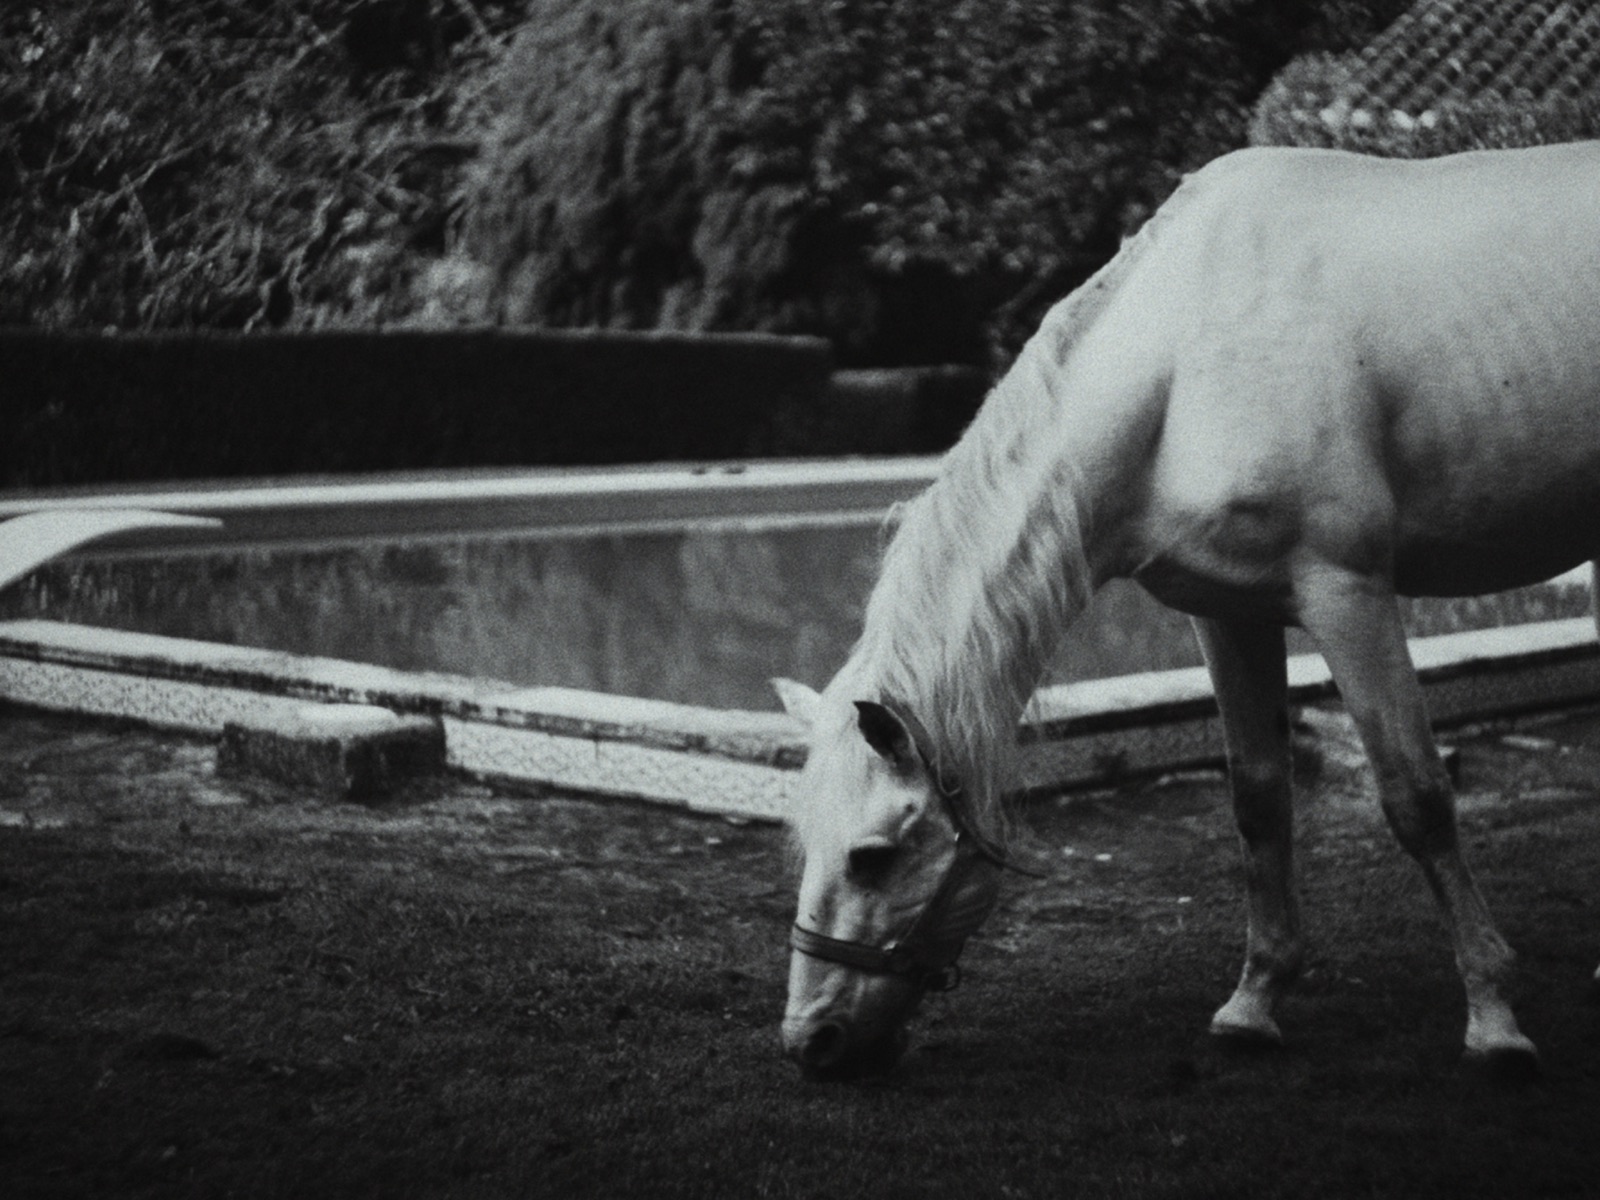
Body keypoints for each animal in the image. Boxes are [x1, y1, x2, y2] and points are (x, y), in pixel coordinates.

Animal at [776, 140, 1600, 1080]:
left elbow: (1417, 797)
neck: (1184, 362)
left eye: (873, 858)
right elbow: (1259, 800)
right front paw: (1255, 1003)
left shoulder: (1347, 593)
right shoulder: (1230, 613)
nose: (810, 1042)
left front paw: (1493, 1016)